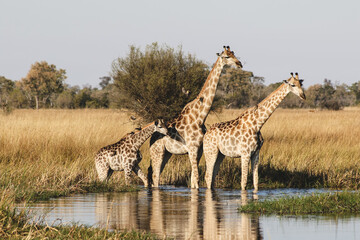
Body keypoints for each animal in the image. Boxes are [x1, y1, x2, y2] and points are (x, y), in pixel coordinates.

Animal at [149, 45, 242, 188]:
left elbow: (193, 179)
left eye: (234, 54)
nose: (239, 64)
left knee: (155, 175)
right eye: (227, 56)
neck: (200, 116)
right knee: (155, 175)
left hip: (167, 153)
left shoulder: (199, 150)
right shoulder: (192, 149)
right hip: (157, 151)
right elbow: (197, 178)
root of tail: (151, 138)